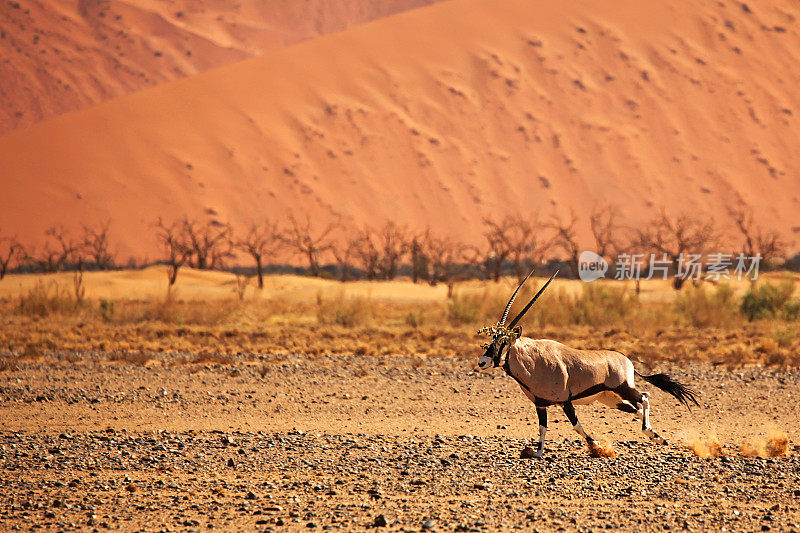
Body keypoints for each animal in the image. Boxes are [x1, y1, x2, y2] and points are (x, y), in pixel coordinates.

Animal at [478, 270, 696, 458]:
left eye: (503, 342)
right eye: (491, 340)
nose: (482, 362)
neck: (533, 360)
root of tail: (627, 360)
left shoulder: (565, 401)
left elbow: (576, 426)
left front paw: (596, 445)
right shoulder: (540, 404)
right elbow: (542, 427)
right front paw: (538, 453)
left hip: (623, 388)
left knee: (644, 397)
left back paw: (650, 432)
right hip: (611, 399)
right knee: (638, 409)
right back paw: (656, 436)